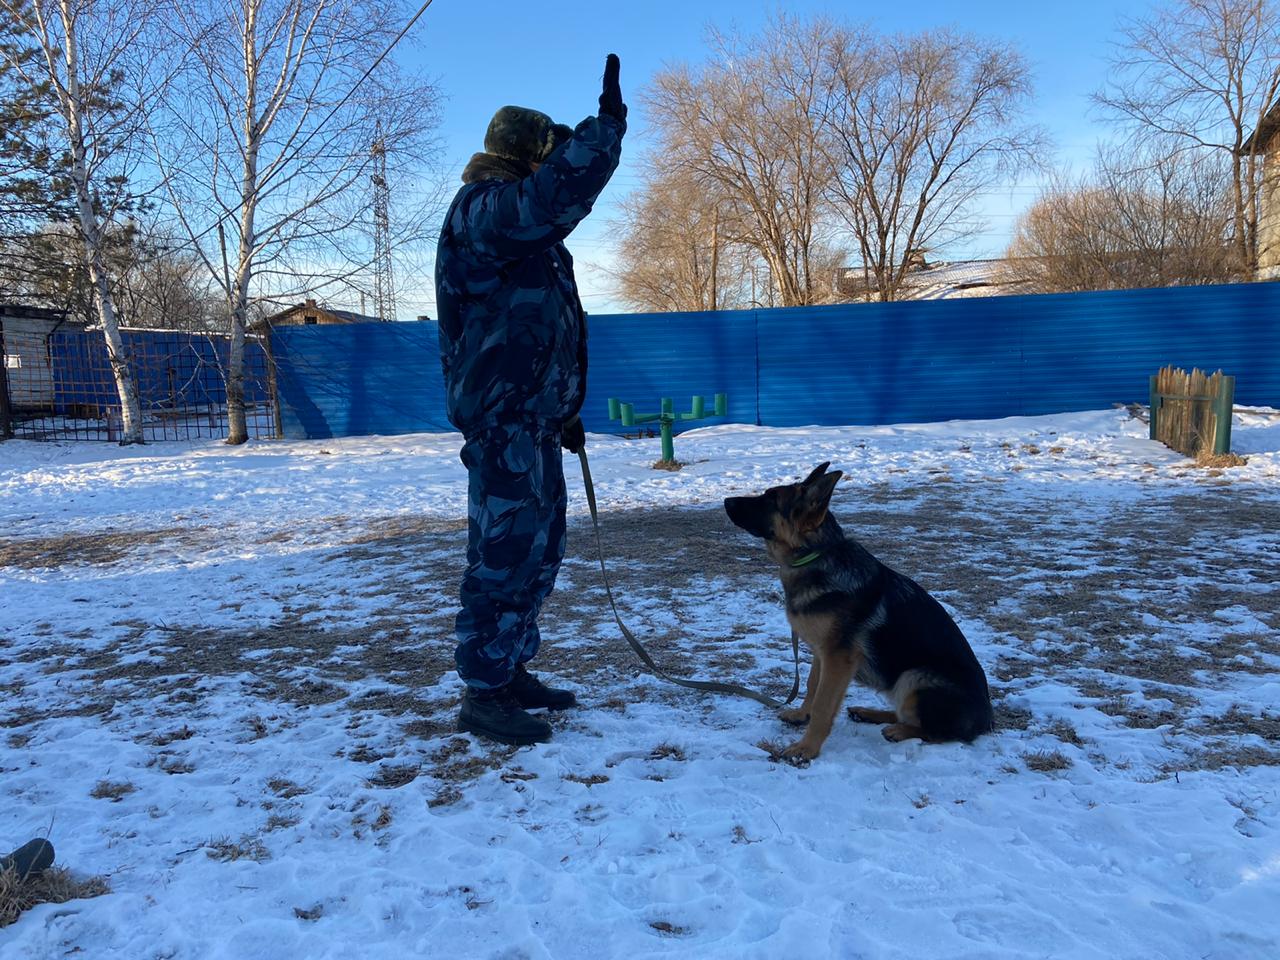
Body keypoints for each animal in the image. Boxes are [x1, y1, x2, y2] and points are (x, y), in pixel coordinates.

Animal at [727, 463, 993, 762]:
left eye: (771, 499)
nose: (726, 501)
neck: (816, 555)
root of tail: (988, 719)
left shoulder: (838, 658)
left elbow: (823, 705)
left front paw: (807, 748)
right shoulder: (822, 653)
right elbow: (811, 686)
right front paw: (801, 715)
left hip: (913, 676)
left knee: (938, 731)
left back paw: (898, 730)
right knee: (905, 714)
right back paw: (869, 713)